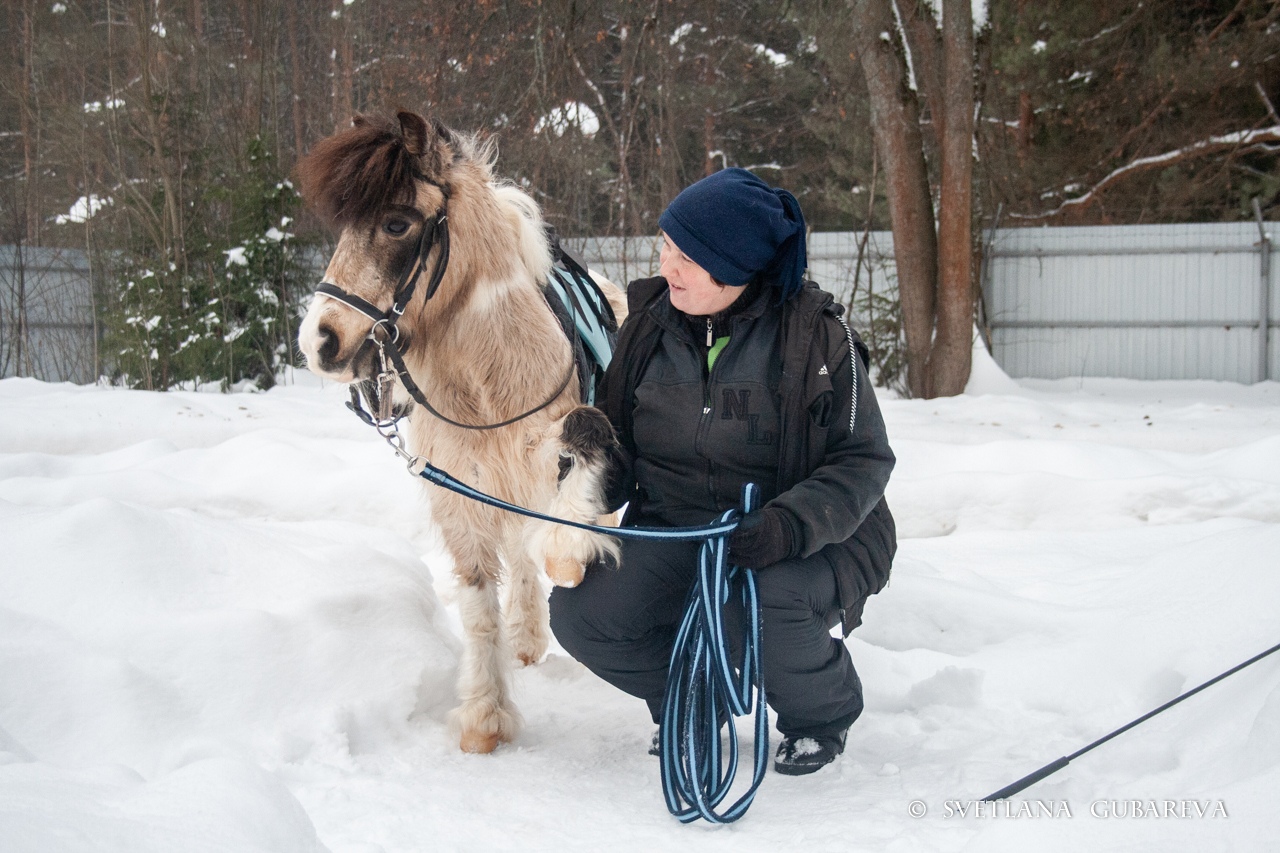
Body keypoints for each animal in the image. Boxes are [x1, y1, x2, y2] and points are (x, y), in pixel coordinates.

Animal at [295, 111, 624, 753]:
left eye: (397, 223)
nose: (319, 341)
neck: (482, 382)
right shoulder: (459, 493)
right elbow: (478, 604)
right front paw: (484, 719)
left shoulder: (539, 456)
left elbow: (582, 433)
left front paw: (570, 555)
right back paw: (526, 639)